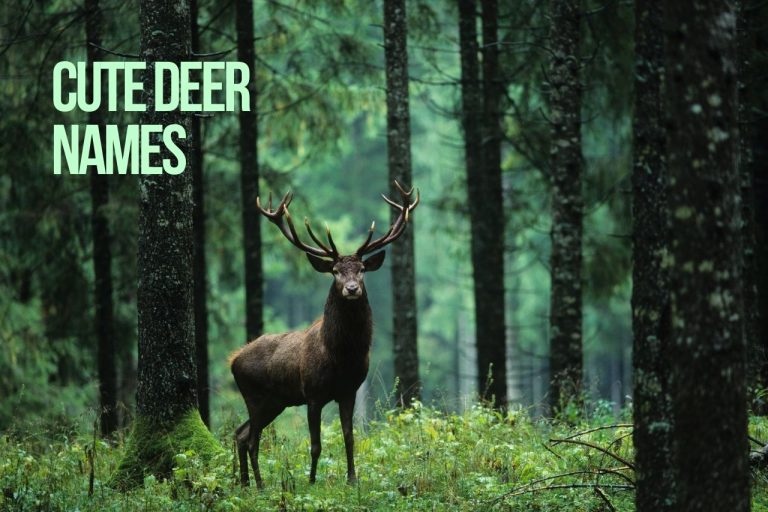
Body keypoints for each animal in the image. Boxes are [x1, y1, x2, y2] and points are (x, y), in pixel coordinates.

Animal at [229, 181, 419, 488]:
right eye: (335, 271)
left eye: (362, 269)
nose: (352, 288)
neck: (341, 356)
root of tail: (233, 360)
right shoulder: (313, 394)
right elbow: (315, 444)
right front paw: (311, 481)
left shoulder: (349, 391)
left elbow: (349, 437)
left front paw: (352, 479)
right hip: (254, 395)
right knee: (252, 439)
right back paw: (259, 485)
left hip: (275, 401)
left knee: (240, 433)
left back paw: (246, 484)